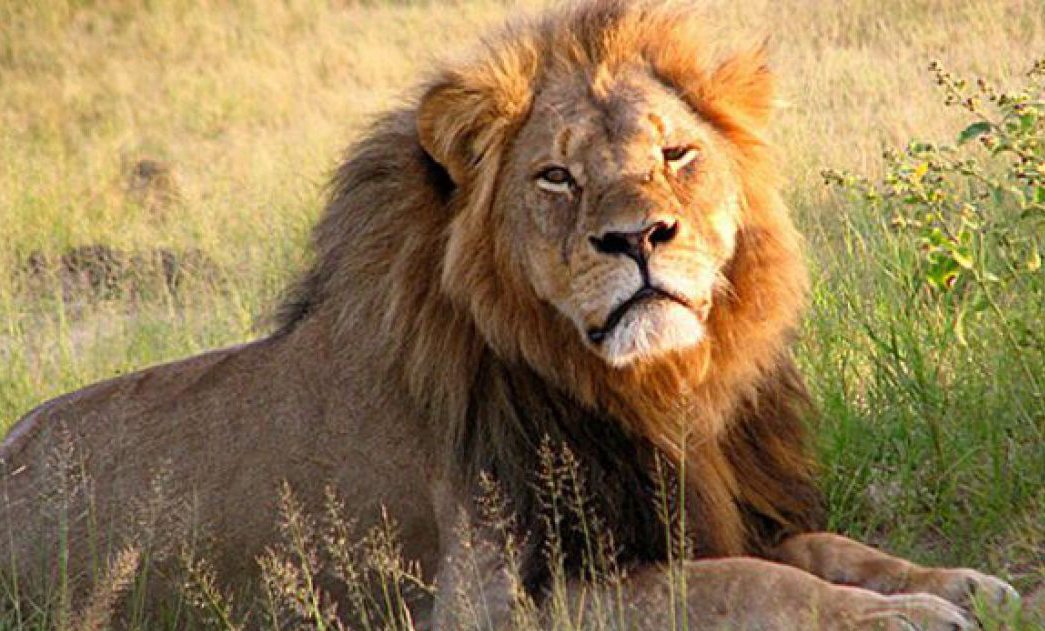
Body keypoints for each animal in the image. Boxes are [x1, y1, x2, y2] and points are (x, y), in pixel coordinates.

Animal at [0, 1, 1019, 629]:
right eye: (556, 176)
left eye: (676, 153)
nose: (638, 237)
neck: (657, 390)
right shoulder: (496, 600)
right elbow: (745, 583)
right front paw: (905, 615)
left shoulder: (709, 504)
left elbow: (826, 546)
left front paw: (956, 582)